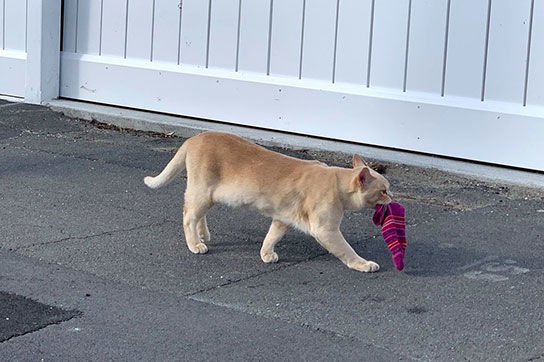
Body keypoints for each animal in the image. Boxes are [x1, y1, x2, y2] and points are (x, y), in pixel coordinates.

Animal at [144, 132, 392, 272]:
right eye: (383, 191)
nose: (392, 198)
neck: (336, 180)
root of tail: (193, 138)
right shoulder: (325, 229)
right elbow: (347, 251)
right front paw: (364, 265)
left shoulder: (283, 218)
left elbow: (271, 236)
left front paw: (266, 254)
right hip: (202, 191)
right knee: (188, 215)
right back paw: (195, 244)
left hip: (207, 195)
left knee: (197, 214)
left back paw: (203, 235)